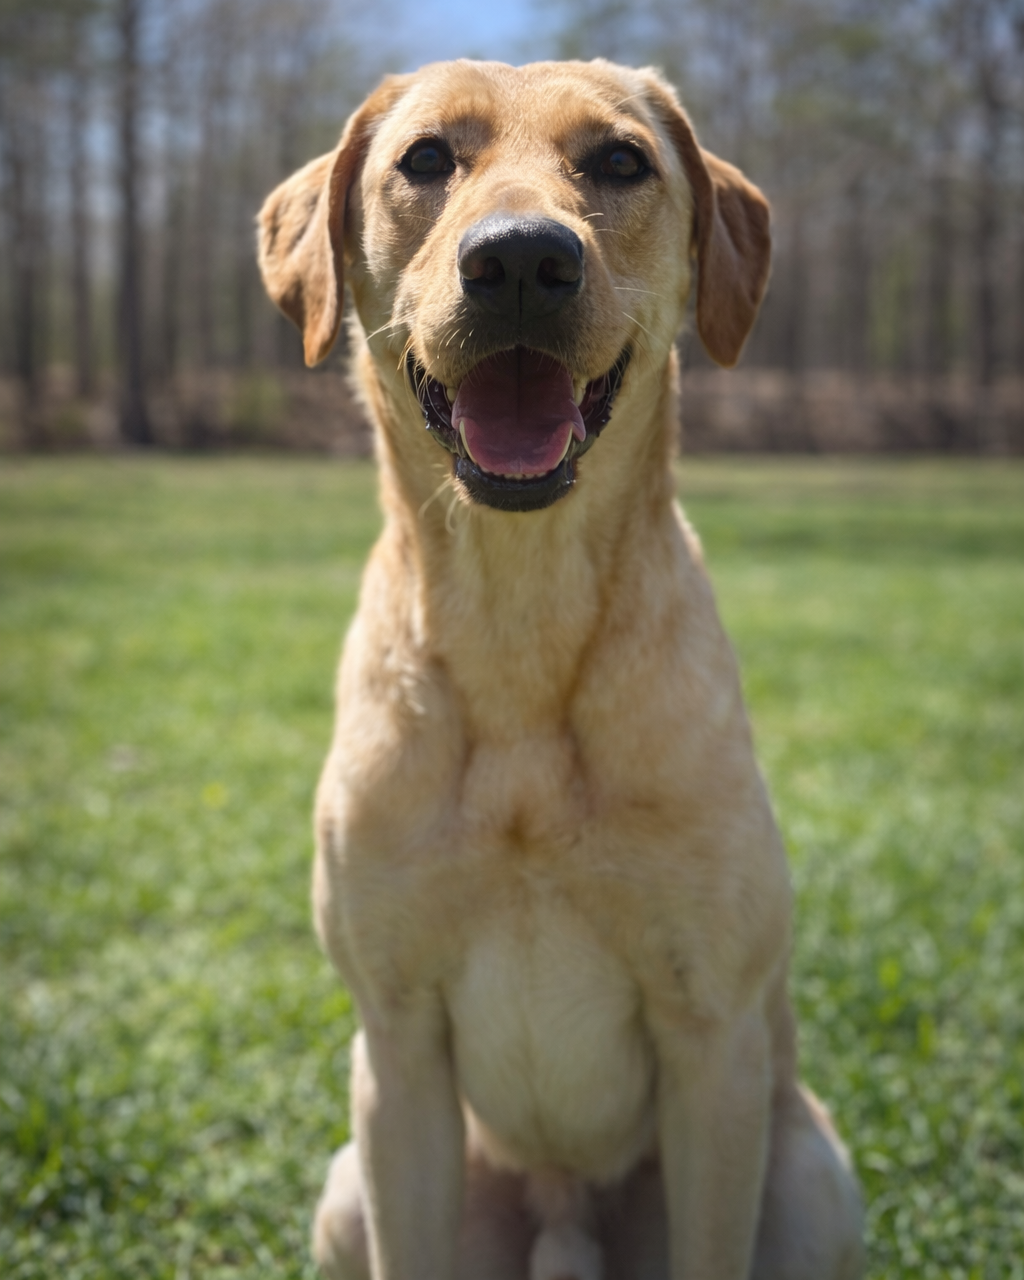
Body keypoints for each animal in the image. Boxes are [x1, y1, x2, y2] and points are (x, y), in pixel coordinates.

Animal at [257, 58, 865, 1280]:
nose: (523, 261)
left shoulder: (711, 1041)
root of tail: (565, 1221)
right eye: (425, 158)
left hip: (811, 1173)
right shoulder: (396, 1045)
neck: (520, 619)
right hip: (347, 1190)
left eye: (620, 161)